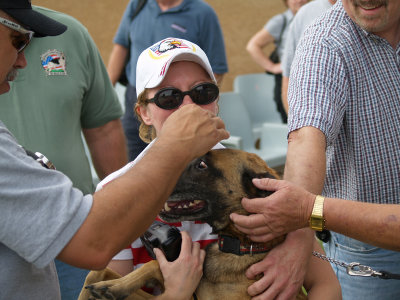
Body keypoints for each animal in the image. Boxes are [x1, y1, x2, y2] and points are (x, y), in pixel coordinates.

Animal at [78, 149, 306, 300]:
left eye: (202, 165)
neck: (243, 247)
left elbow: (154, 265)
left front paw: (115, 286)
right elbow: (97, 272)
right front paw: (109, 285)